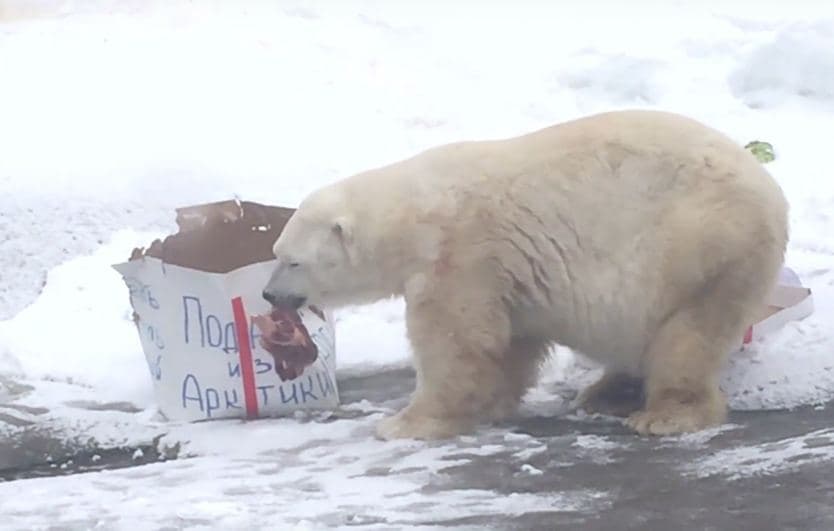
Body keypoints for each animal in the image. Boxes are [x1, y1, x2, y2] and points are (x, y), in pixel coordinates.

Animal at [264, 109, 788, 440]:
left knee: (687, 334)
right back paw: (604, 393)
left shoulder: (461, 254)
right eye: (274, 253)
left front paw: (405, 423)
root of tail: (771, 192)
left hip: (701, 245)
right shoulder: (506, 270)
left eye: (292, 260)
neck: (416, 214)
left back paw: (663, 415)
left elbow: (455, 342)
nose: (270, 295)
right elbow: (510, 339)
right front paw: (489, 403)